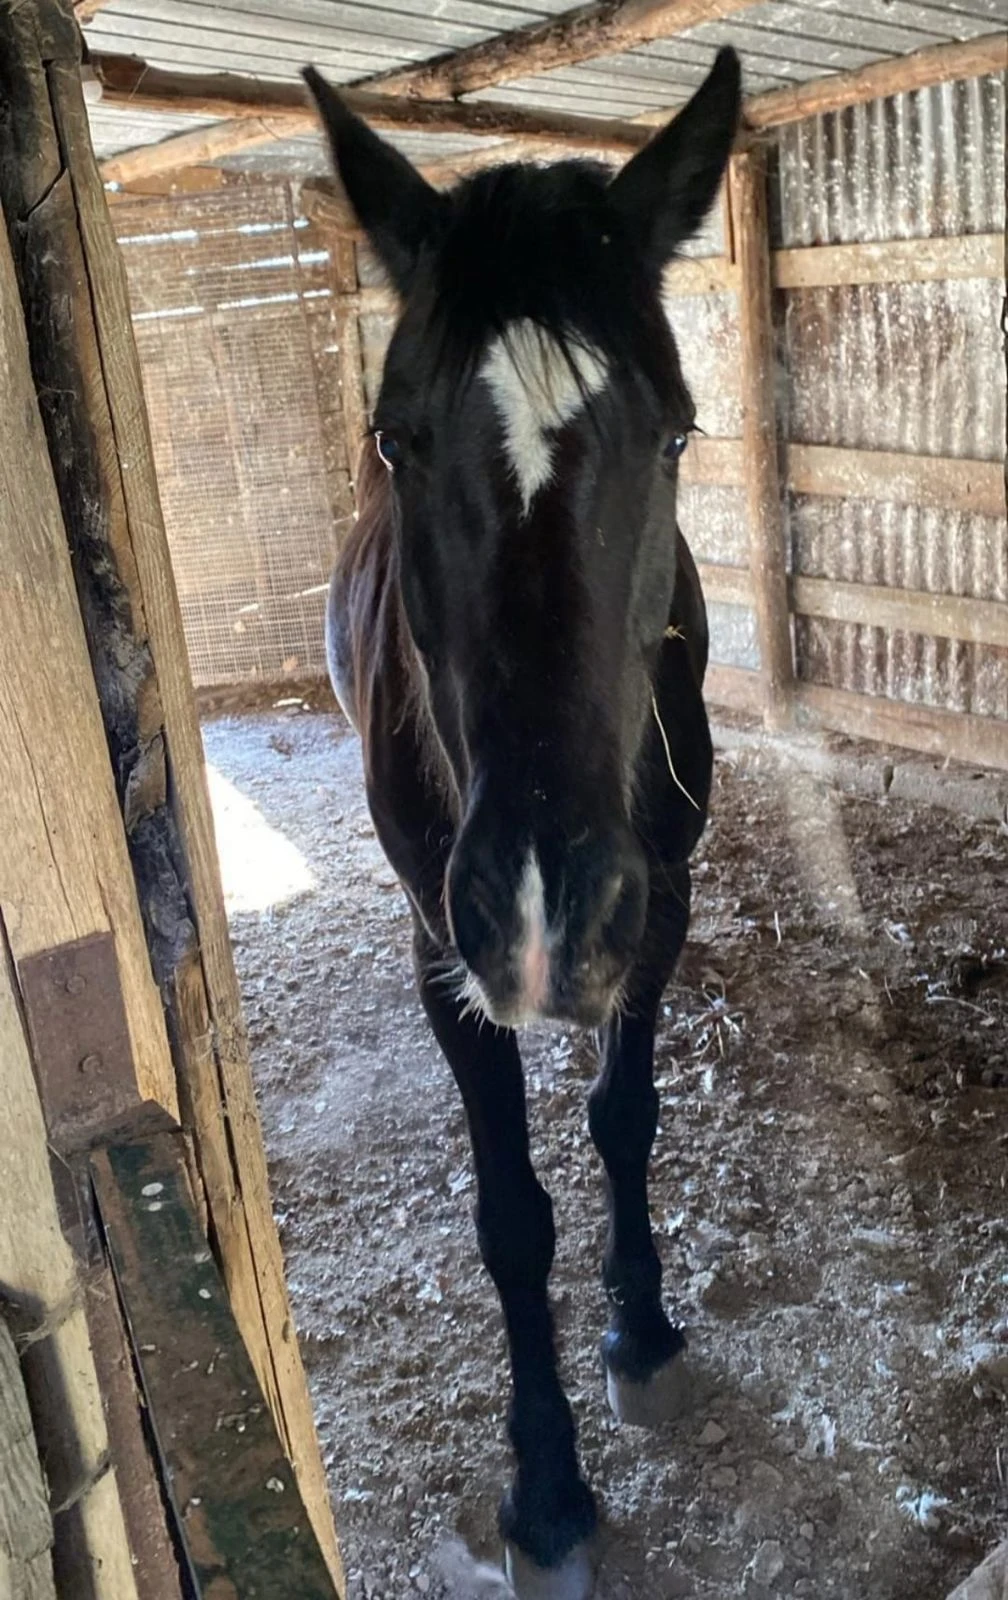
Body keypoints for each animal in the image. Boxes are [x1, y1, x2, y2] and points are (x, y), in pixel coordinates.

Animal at [304, 51, 741, 1598]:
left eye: (674, 431)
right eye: (399, 435)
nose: (547, 905)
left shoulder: (659, 902)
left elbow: (624, 1115)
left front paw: (643, 1332)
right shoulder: (446, 949)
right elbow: (509, 1217)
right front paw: (547, 1490)